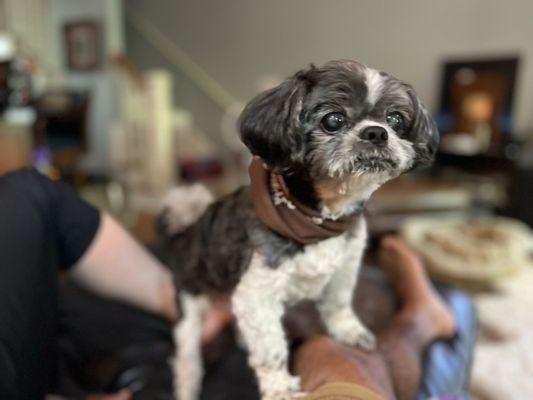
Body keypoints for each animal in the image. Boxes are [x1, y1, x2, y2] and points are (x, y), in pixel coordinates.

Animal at [159, 60, 440, 400]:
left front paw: (348, 331)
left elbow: (338, 303)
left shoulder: (345, 266)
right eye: (333, 120)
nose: (376, 132)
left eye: (396, 119)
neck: (321, 219)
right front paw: (280, 387)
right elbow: (270, 349)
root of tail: (185, 229)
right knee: (187, 359)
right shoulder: (257, 293)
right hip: (189, 307)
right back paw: (188, 385)